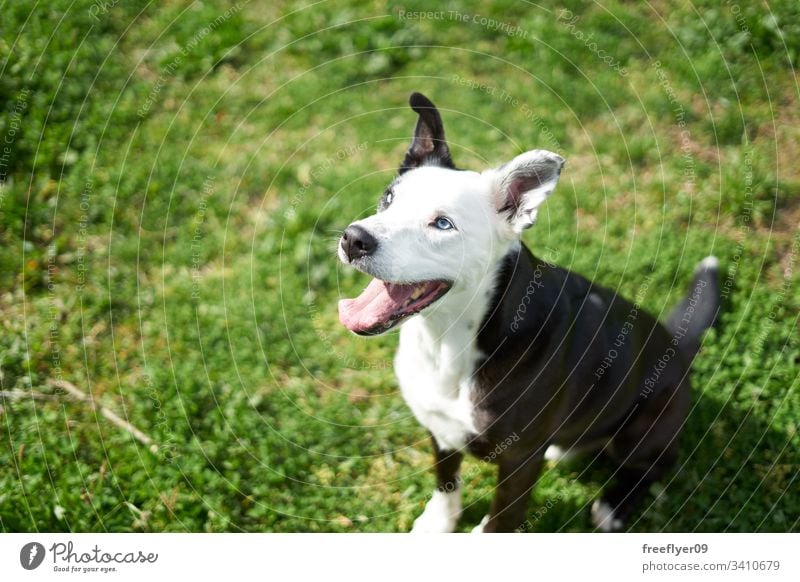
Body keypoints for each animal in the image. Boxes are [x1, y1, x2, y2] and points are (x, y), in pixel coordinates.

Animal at [336, 92, 720, 532]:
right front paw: (438, 524)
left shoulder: (519, 460)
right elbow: (446, 481)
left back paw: (614, 506)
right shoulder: (440, 429)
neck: (449, 338)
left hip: (645, 430)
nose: (353, 239)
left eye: (443, 224)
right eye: (388, 198)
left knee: (652, 467)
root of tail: (679, 346)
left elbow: (502, 518)